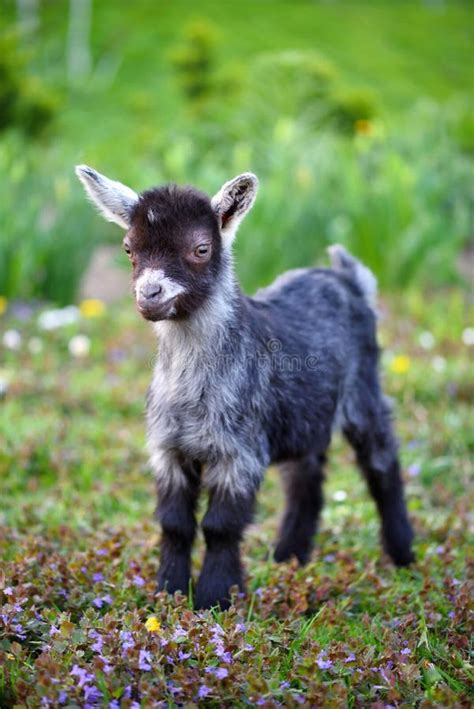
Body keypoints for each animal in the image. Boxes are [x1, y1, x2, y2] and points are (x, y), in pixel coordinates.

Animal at [76, 166, 412, 608]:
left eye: (201, 248)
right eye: (129, 248)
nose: (150, 295)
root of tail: (345, 275)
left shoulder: (239, 452)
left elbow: (220, 526)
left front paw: (215, 597)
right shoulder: (168, 449)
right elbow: (174, 523)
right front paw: (169, 592)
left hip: (364, 389)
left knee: (381, 462)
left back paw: (402, 555)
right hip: (302, 416)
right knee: (305, 479)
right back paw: (288, 557)